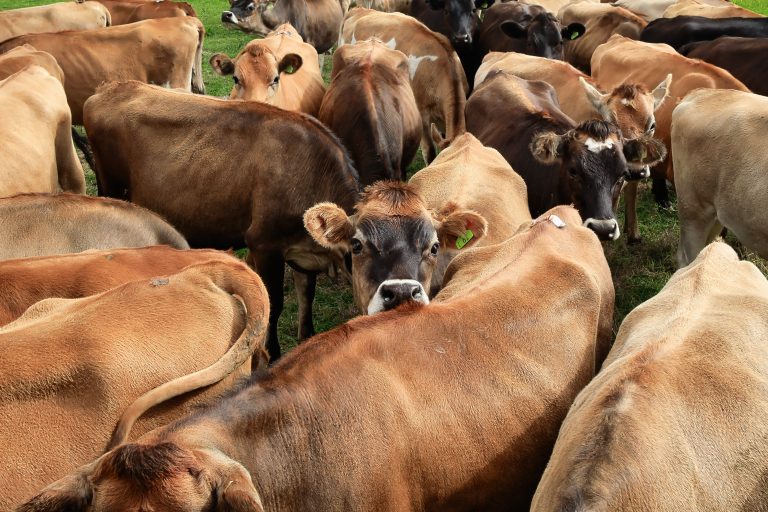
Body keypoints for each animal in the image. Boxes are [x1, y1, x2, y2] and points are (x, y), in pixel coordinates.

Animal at [83, 80, 359, 361]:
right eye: (358, 248)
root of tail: (113, 86)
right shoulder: (263, 244)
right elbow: (274, 303)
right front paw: (272, 354)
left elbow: (306, 292)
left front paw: (307, 337)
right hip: (110, 185)